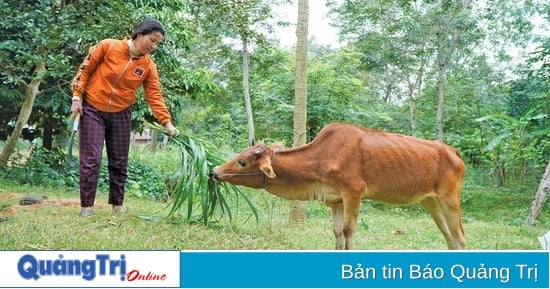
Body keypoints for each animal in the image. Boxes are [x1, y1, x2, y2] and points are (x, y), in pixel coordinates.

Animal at [211, 122, 466, 249]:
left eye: (242, 161)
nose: (214, 172)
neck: (320, 157)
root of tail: (453, 151)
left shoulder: (353, 193)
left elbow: (348, 231)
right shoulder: (335, 201)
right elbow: (336, 233)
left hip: (449, 200)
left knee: (460, 238)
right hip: (430, 202)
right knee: (449, 238)